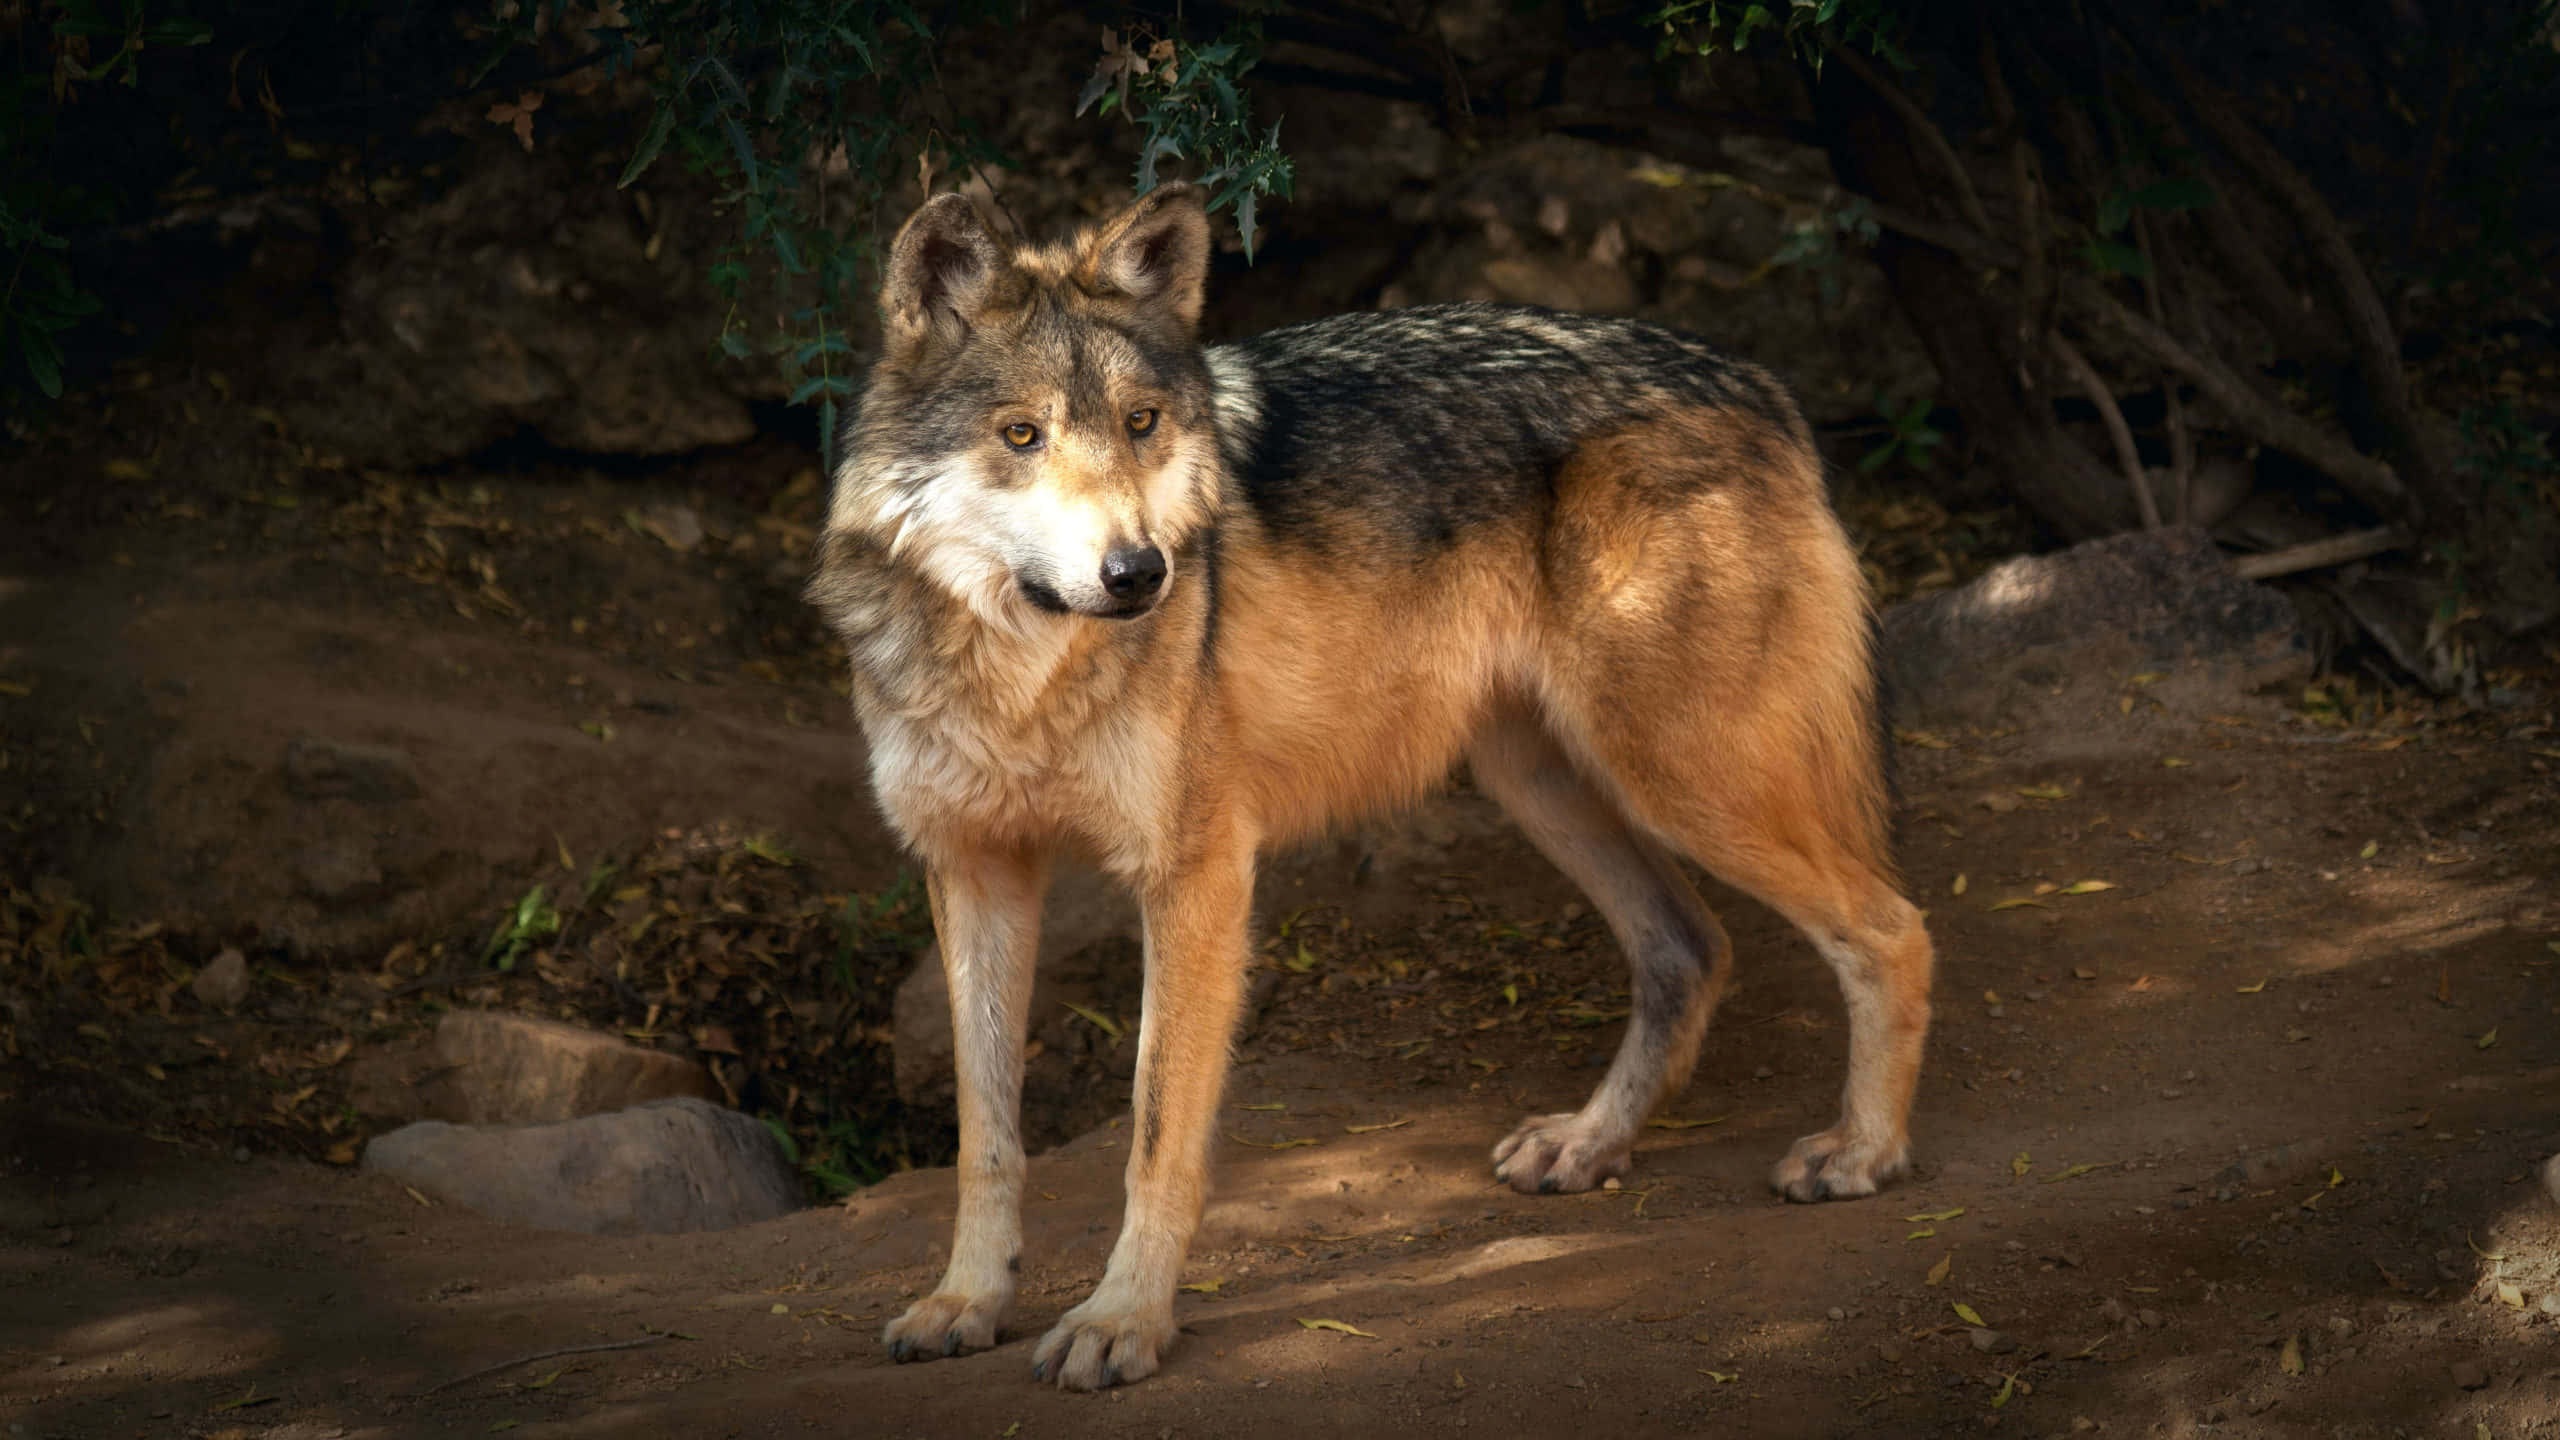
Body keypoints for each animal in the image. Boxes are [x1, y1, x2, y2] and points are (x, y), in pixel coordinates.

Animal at [809, 183, 1936, 1391]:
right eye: (1021, 435)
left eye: (1142, 424)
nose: (1142, 573)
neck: (1020, 672)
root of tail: (1757, 383)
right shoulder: (975, 871)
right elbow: (984, 1132)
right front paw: (966, 1300)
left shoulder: (1197, 875)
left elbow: (1156, 1134)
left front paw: (1124, 1320)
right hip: (1540, 780)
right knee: (1692, 948)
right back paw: (1588, 1145)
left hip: (1684, 777)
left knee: (1891, 929)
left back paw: (1863, 1153)